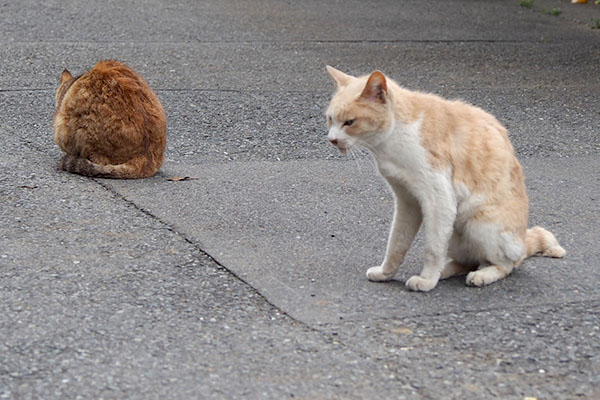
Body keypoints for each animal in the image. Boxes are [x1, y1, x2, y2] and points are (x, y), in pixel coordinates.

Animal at [326, 65, 564, 290]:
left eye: (350, 122)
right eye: (330, 119)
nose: (332, 139)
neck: (391, 141)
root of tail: (522, 239)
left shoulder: (438, 199)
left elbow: (431, 249)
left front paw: (426, 281)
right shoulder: (407, 201)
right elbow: (396, 243)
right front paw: (386, 273)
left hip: (478, 223)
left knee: (505, 264)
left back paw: (480, 275)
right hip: (455, 233)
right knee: (468, 261)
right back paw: (446, 270)